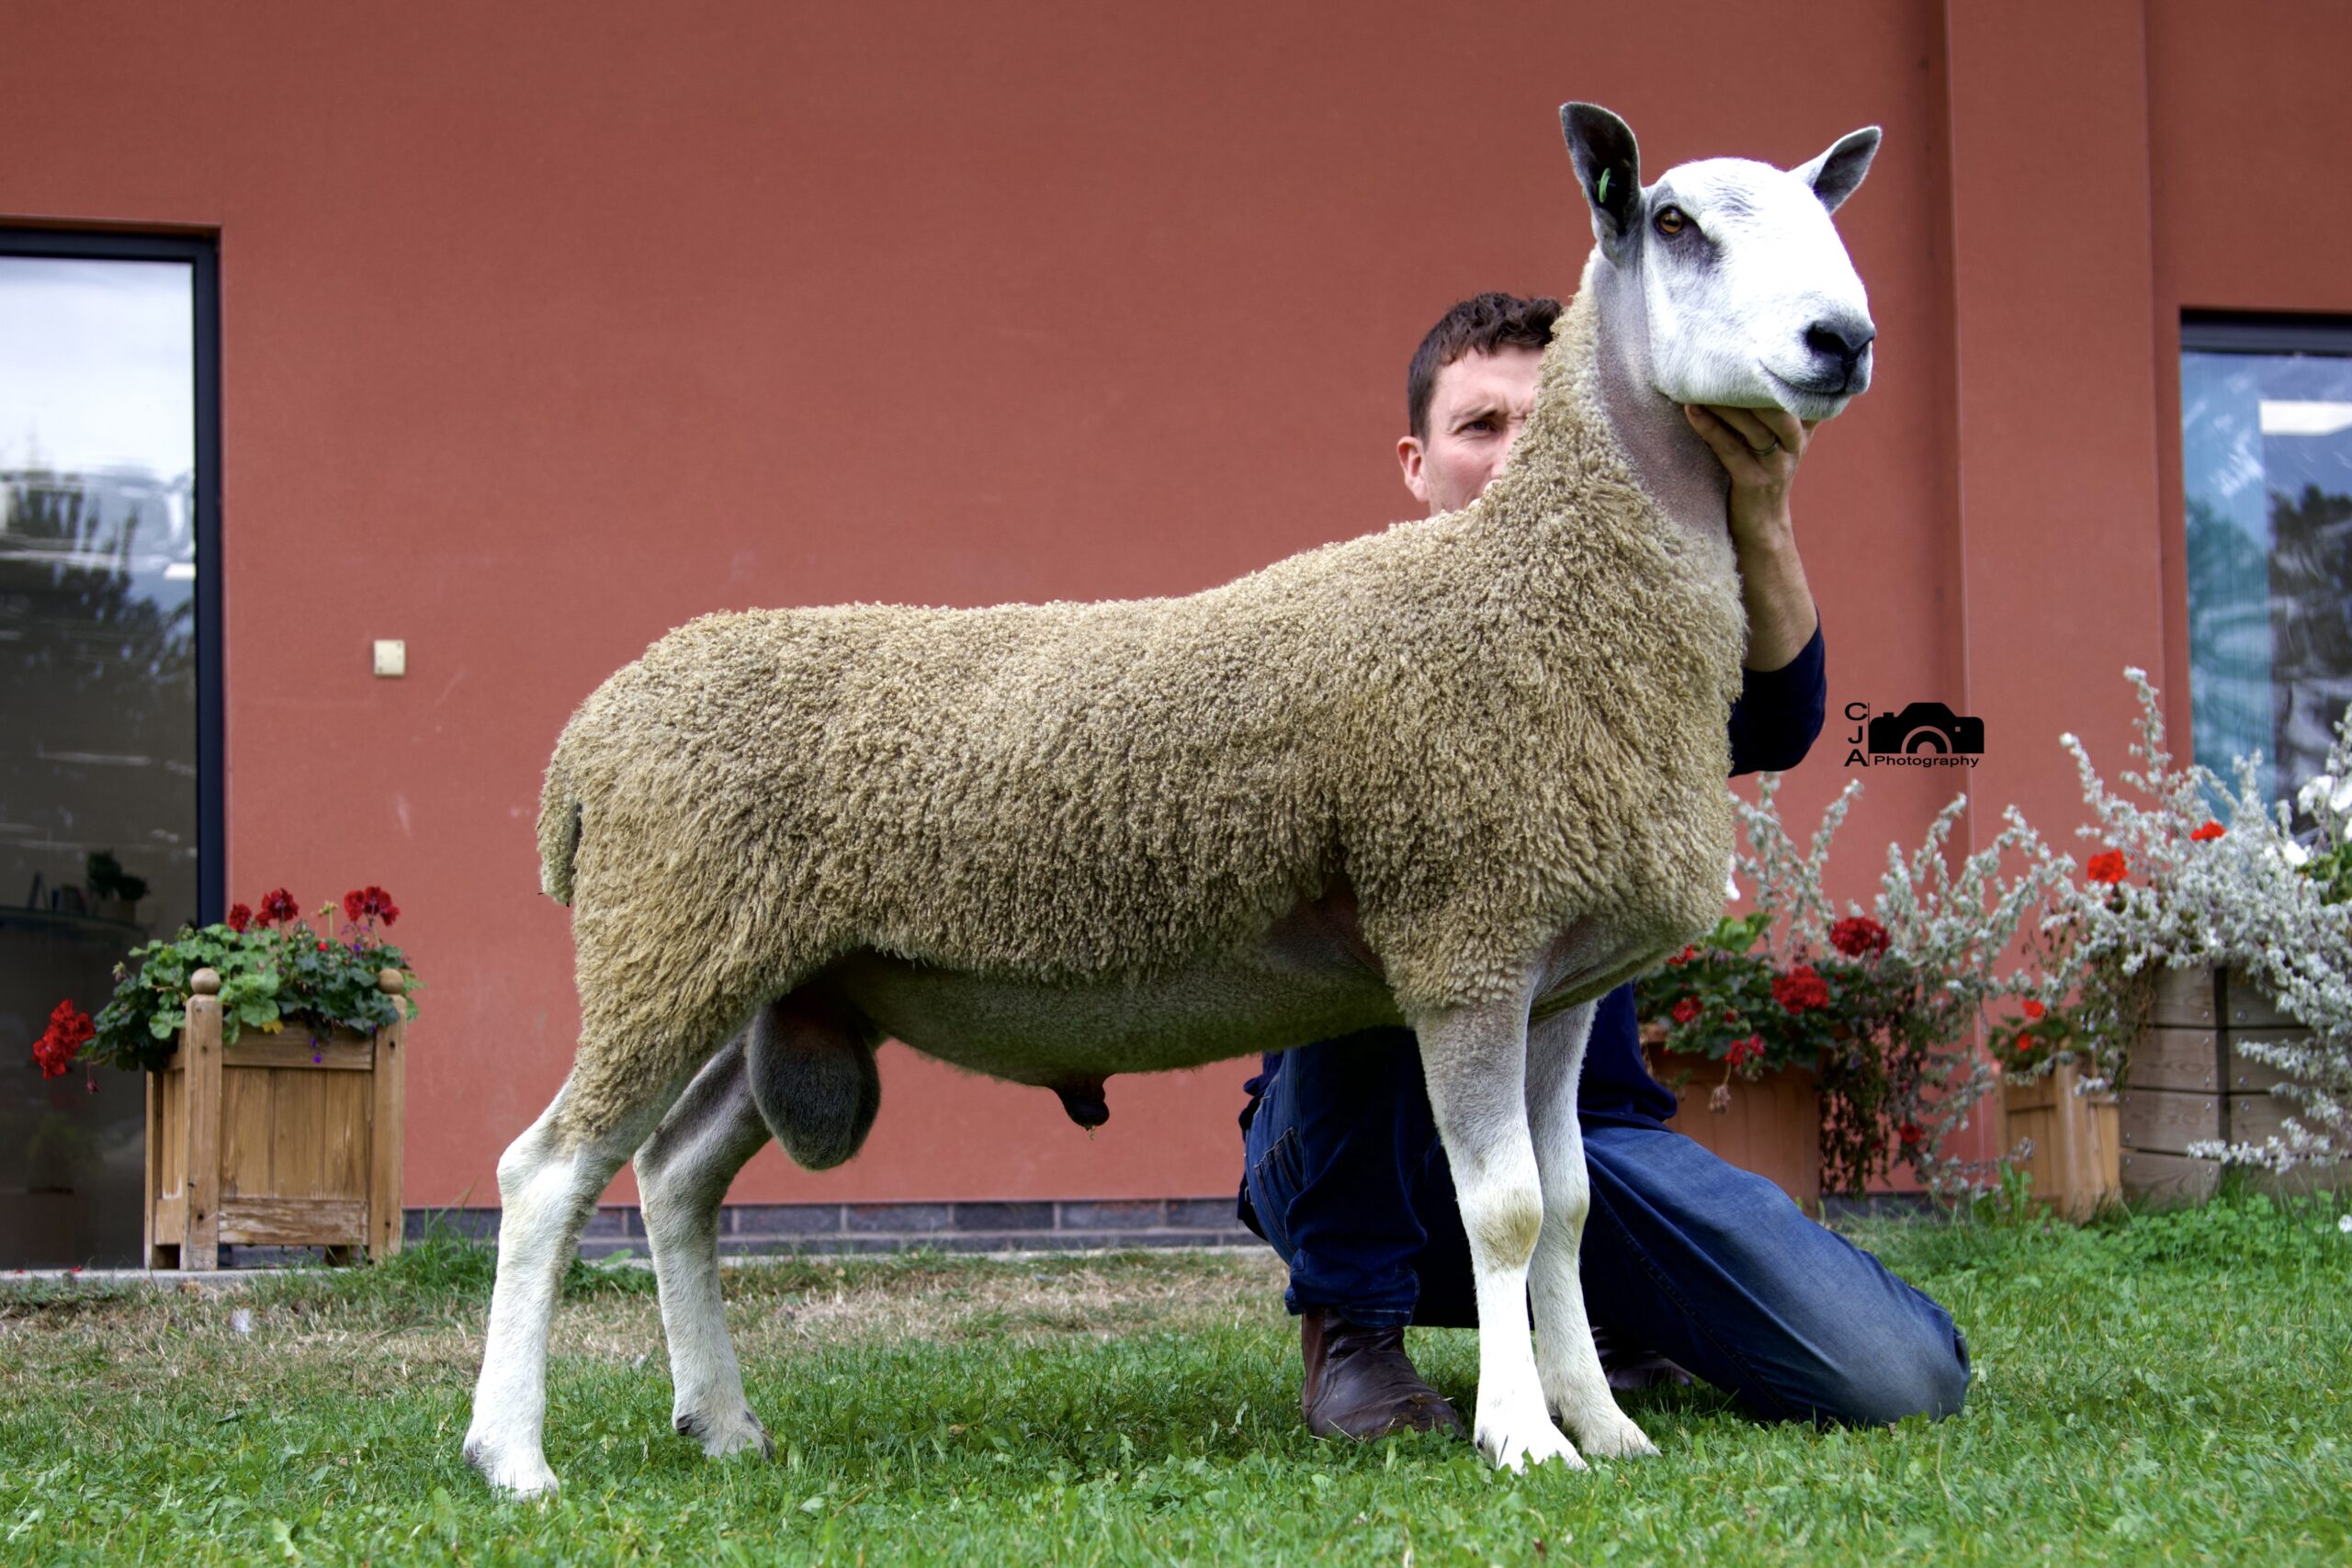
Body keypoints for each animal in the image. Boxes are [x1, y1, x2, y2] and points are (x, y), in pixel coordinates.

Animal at [468, 104, 1882, 1504]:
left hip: (771, 973)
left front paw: (1605, 1425)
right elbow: (1508, 1208)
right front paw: (1523, 1437)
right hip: (669, 944)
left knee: (673, 1174)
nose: (1844, 340)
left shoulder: (1561, 980)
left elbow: (1572, 1210)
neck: (1538, 580)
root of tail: (587, 740)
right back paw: (513, 1456)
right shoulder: (1464, 937)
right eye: (1674, 222)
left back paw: (720, 1421)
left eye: (1825, 213)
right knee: (546, 1172)